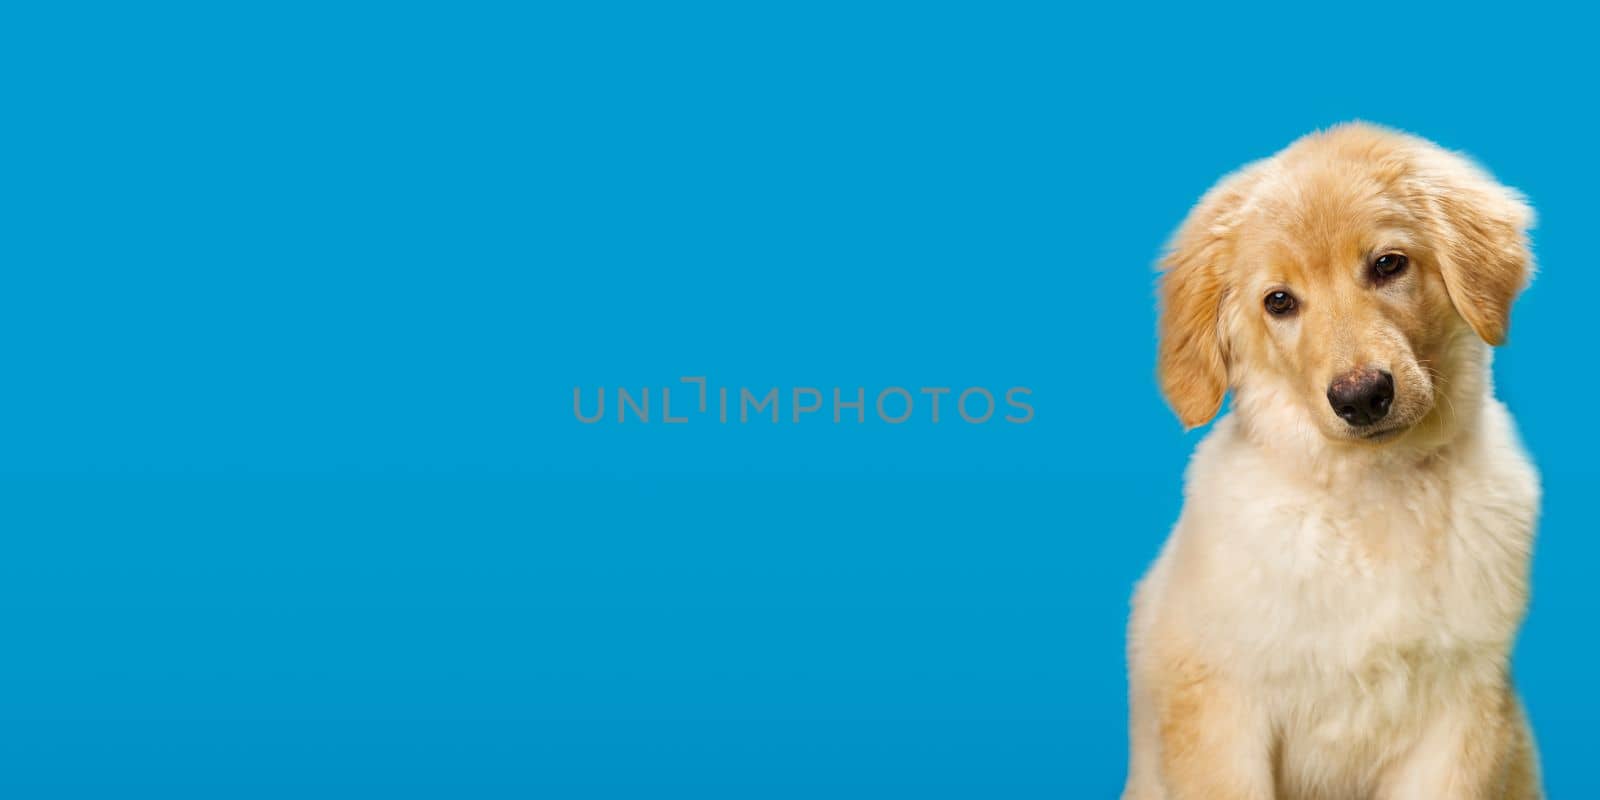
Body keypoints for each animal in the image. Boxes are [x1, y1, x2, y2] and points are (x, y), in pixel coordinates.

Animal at [1120, 120, 1542, 800]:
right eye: (1280, 302)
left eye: (1388, 264)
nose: (1362, 396)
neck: (1372, 494)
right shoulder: (1220, 707)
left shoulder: (1464, 710)